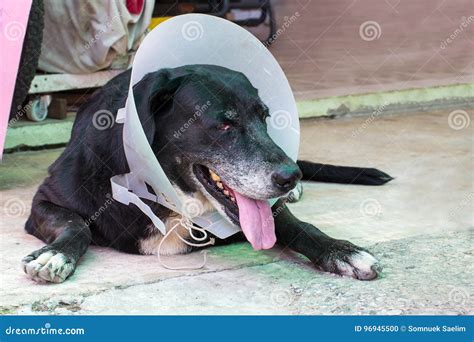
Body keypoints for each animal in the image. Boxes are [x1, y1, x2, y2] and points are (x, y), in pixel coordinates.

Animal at [21, 65, 392, 284]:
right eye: (224, 124)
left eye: (265, 117)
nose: (291, 176)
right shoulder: (45, 200)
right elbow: (77, 225)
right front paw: (55, 255)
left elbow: (298, 226)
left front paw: (340, 251)